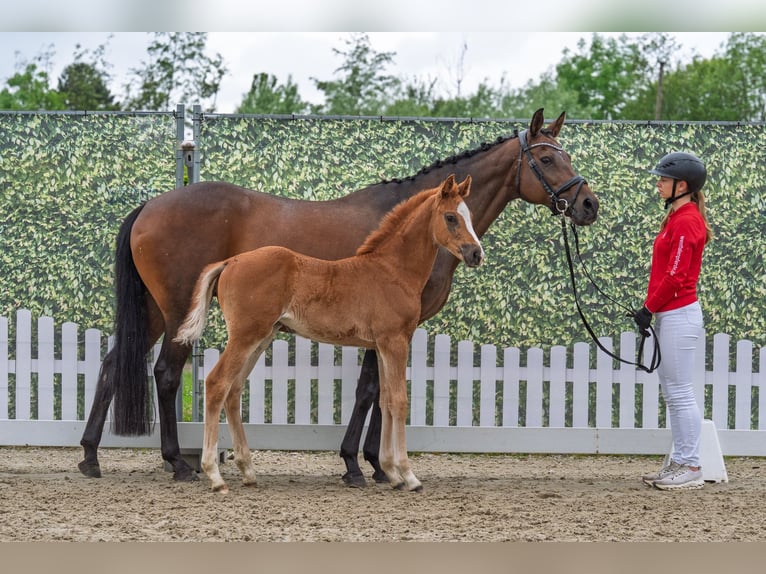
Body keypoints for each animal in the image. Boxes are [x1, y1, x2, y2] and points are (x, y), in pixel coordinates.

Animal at [174, 175, 483, 493]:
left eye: (470, 216)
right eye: (450, 217)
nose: (476, 254)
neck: (392, 270)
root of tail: (231, 262)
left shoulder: (381, 346)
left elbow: (384, 400)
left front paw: (392, 473)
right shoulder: (395, 341)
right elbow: (399, 401)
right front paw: (409, 477)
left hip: (261, 338)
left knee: (234, 390)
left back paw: (248, 471)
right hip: (246, 335)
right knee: (217, 383)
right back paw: (214, 475)